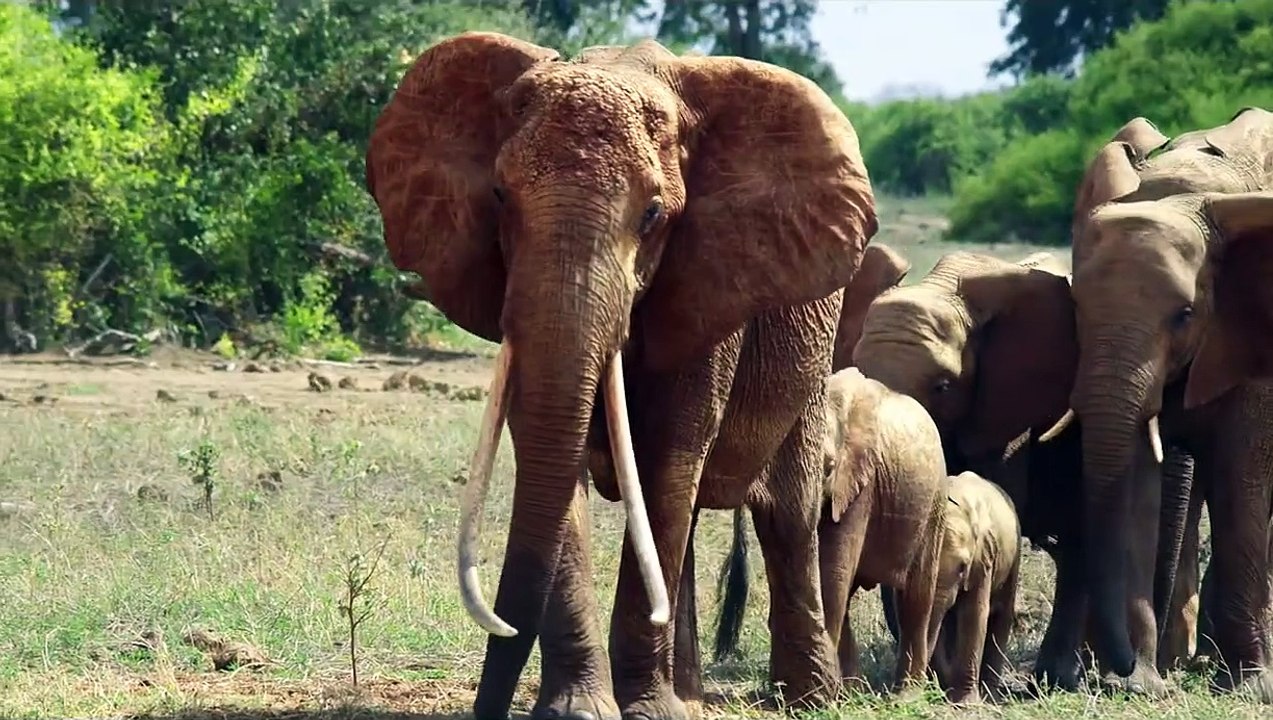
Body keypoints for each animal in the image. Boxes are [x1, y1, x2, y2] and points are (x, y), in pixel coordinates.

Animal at [364, 33, 879, 720]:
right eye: (499, 197)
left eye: (654, 214)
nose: (487, 705)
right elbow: (555, 465)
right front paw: (578, 711)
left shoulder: (708, 286)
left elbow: (668, 461)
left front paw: (650, 713)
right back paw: (690, 693)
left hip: (814, 361)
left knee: (786, 516)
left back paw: (808, 700)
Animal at [1041, 106, 1273, 702]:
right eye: (1076, 306)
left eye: (1185, 314)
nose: (1118, 666)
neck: (1183, 190)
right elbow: (1139, 475)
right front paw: (1142, 686)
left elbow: (1242, 475)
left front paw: (1252, 687)